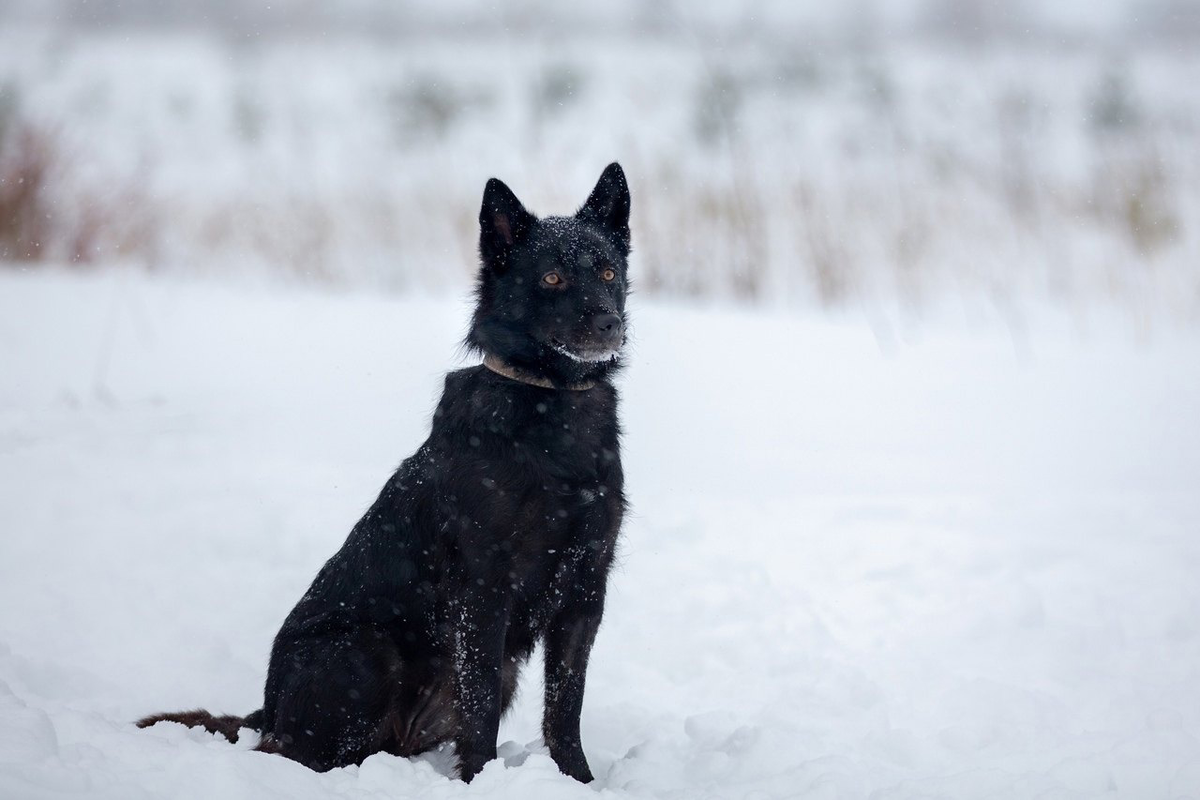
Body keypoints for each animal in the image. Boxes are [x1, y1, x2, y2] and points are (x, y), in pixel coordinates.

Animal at [136, 160, 633, 782]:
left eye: (609, 271)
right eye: (551, 279)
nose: (610, 324)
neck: (552, 410)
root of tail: (268, 711)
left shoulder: (586, 591)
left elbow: (565, 706)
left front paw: (579, 781)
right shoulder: (484, 591)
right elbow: (481, 707)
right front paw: (480, 780)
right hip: (369, 652)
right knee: (292, 753)